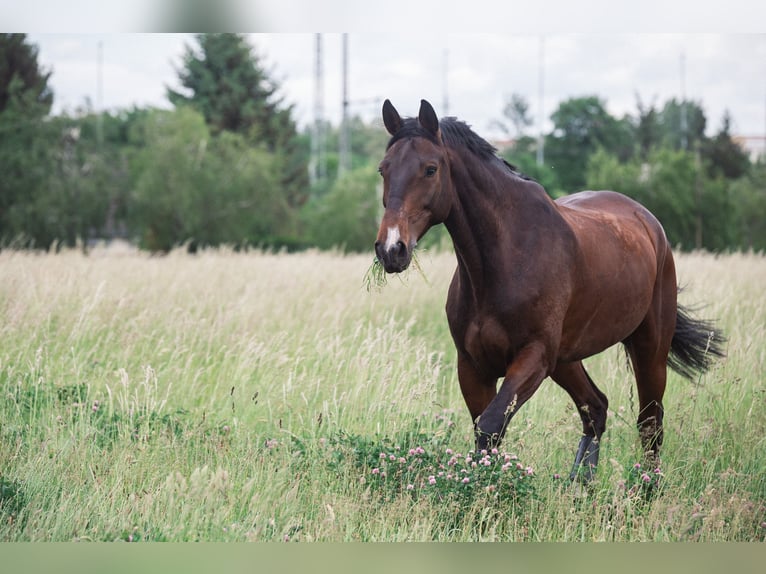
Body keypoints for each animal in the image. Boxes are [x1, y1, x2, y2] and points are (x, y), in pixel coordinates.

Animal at [374, 99, 725, 481]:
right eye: (383, 169)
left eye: (430, 169)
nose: (391, 249)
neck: (505, 259)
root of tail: (649, 224)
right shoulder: (472, 366)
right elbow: (485, 427)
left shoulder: (534, 357)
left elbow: (491, 425)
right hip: (567, 360)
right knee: (596, 409)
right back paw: (579, 484)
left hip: (648, 347)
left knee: (649, 423)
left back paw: (643, 489)